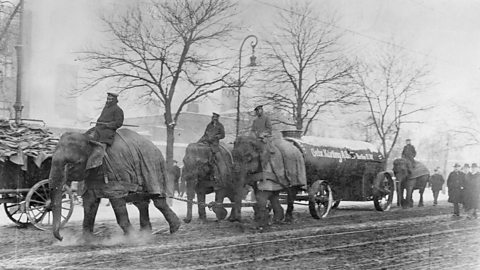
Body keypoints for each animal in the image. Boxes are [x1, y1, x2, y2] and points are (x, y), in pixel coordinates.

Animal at [49, 129, 180, 240]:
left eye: (71, 165)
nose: (62, 238)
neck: (90, 138)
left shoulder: (117, 171)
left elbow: (117, 201)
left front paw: (131, 237)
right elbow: (89, 202)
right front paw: (86, 240)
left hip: (154, 168)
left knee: (158, 201)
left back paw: (174, 229)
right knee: (141, 202)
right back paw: (146, 233)